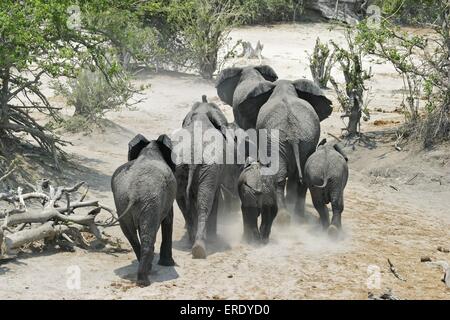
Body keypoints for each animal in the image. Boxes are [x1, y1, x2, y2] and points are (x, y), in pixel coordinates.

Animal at [110, 134, 176, 286]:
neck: (150, 149)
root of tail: (134, 193)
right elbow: (168, 219)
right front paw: (169, 264)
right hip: (150, 202)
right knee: (148, 234)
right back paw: (144, 280)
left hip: (123, 202)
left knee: (130, 234)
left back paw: (145, 271)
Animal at [216, 68, 332, 220]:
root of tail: (294, 135)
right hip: (306, 142)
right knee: (301, 177)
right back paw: (298, 217)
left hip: (280, 143)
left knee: (279, 179)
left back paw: (283, 217)